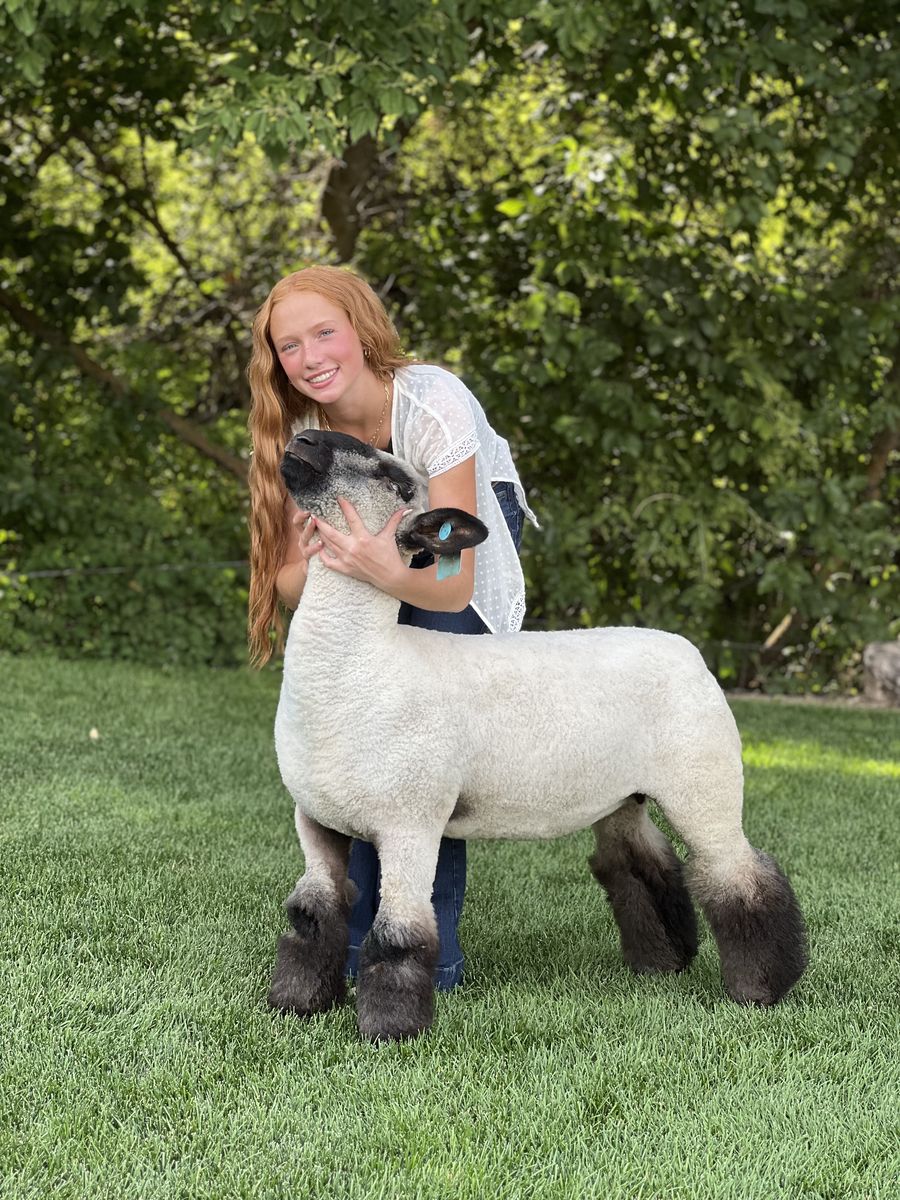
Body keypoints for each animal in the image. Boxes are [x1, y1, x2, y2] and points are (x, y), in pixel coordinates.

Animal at [268, 429, 808, 1042]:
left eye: (395, 479)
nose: (305, 439)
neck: (357, 667)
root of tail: (689, 651)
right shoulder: (314, 820)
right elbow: (312, 915)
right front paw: (296, 1004)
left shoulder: (410, 822)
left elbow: (400, 932)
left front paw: (390, 1030)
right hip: (621, 795)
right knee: (641, 864)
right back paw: (663, 961)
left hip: (703, 781)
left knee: (739, 875)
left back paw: (762, 989)